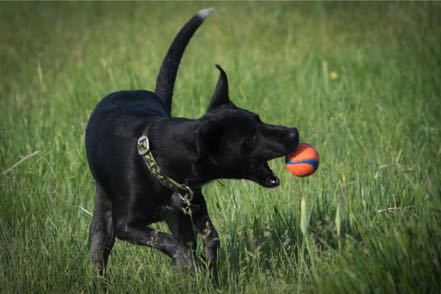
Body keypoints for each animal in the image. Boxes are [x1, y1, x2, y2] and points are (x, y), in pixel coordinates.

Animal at [85, 7, 300, 274]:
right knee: (99, 246)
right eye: (249, 138)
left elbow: (210, 236)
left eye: (258, 118)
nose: (294, 133)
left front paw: (206, 267)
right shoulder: (126, 225)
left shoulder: (193, 207)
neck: (158, 163)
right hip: (105, 217)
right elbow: (164, 240)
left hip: (178, 217)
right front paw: (192, 264)